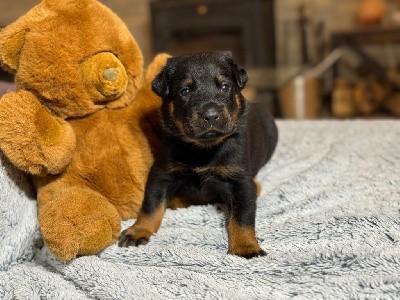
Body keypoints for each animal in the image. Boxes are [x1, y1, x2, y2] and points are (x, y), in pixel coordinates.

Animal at [119, 51, 278, 258]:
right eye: (185, 91)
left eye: (225, 86)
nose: (210, 115)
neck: (203, 149)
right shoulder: (162, 172)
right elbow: (151, 204)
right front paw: (138, 230)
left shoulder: (240, 179)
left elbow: (243, 215)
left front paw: (246, 247)